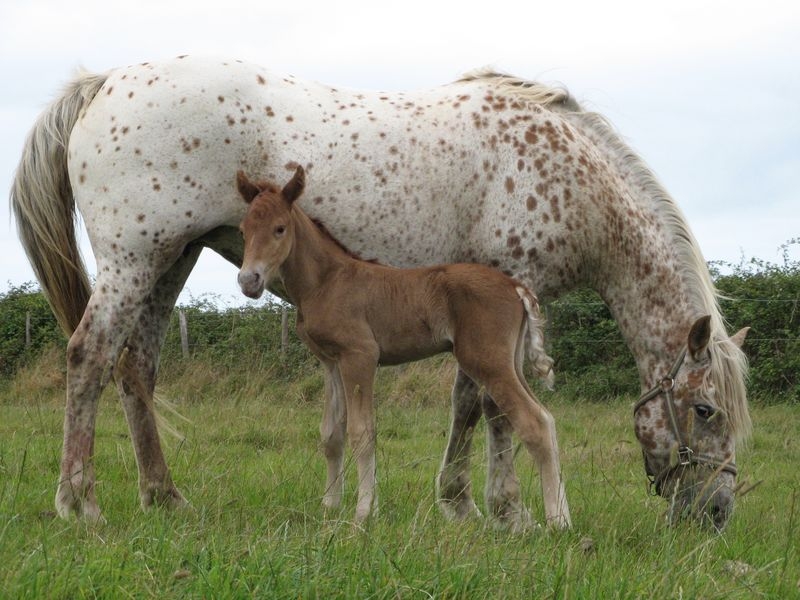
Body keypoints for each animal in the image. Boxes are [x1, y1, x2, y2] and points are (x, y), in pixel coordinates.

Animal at [236, 166, 568, 528]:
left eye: (279, 228)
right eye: (243, 230)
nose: (248, 281)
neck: (326, 281)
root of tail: (515, 286)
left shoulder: (360, 355)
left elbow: (362, 432)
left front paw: (364, 513)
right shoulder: (330, 362)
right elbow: (331, 435)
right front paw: (329, 508)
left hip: (486, 360)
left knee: (534, 423)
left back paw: (557, 522)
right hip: (509, 362)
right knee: (546, 418)